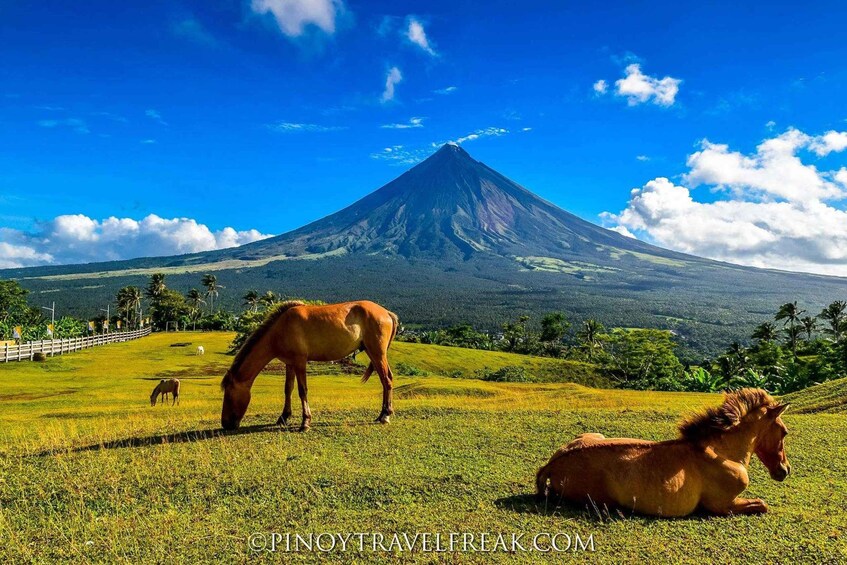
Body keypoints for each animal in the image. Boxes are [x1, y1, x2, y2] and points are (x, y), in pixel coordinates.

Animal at [220, 300, 399, 432]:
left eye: (228, 394)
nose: (225, 424)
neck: (280, 329)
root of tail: (387, 313)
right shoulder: (289, 363)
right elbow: (288, 389)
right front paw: (283, 417)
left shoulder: (300, 361)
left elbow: (302, 390)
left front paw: (305, 422)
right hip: (372, 353)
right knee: (385, 380)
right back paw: (381, 414)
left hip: (377, 353)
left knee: (387, 380)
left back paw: (385, 416)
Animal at [535, 388, 790, 517]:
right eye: (784, 432)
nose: (785, 470)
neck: (722, 453)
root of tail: (551, 466)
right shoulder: (722, 505)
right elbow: (762, 504)